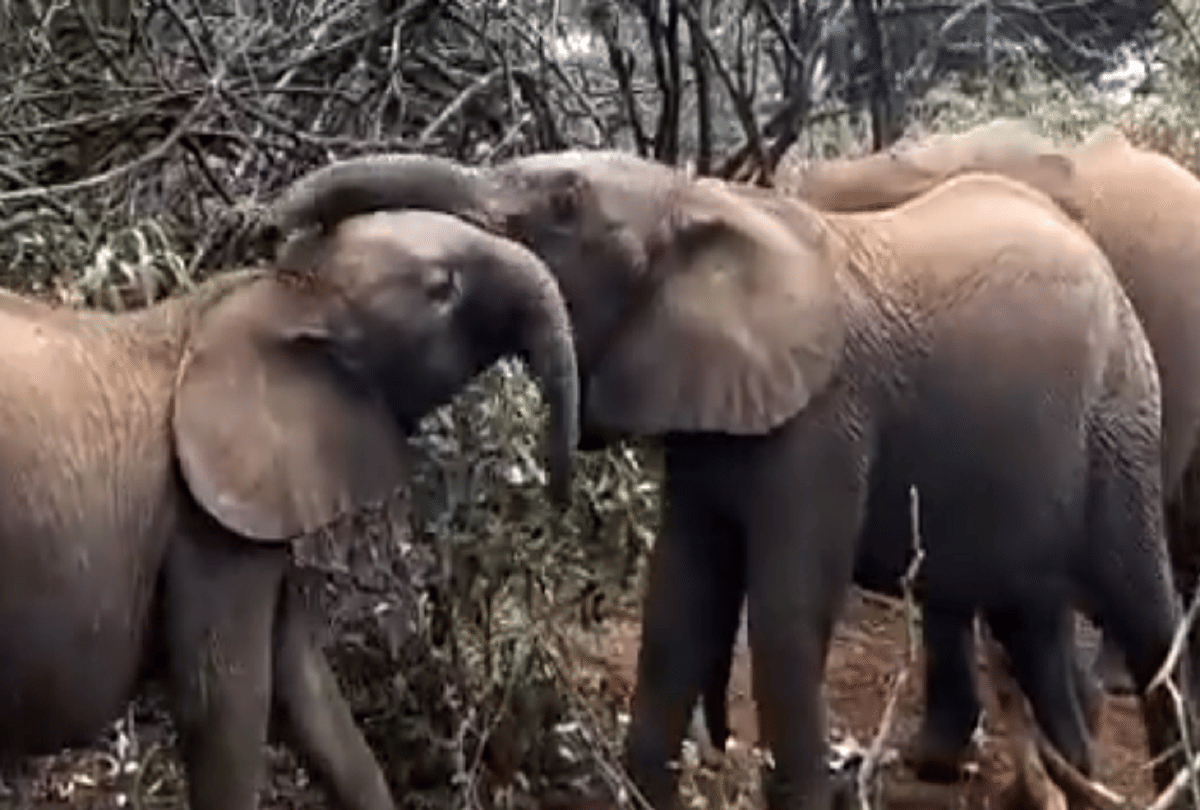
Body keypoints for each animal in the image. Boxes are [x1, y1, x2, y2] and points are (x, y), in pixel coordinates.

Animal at [0, 208, 580, 810]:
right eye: (442, 289)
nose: (557, 494)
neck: (268, 294)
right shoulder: (208, 526)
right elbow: (228, 706)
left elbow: (305, 691)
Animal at [269, 148, 1198, 810]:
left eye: (565, 205)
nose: (274, 235)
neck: (704, 199)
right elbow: (678, 607)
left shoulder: (827, 420)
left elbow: (784, 615)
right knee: (1029, 623)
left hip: (1123, 414)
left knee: (1143, 611)